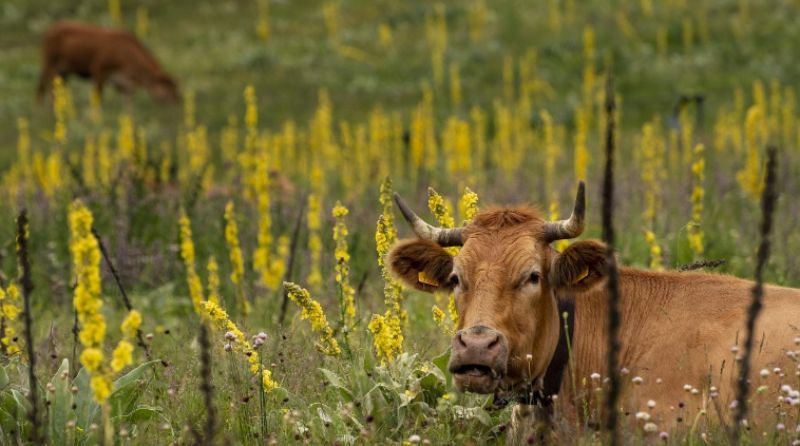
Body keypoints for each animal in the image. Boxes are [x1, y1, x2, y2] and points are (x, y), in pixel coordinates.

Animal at [38, 21, 180, 103]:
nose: (179, 100)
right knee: (41, 88)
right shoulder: (98, 70)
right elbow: (98, 99)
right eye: (170, 88)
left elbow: (128, 107)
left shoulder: (123, 85)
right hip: (49, 64)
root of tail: (49, 30)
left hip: (64, 72)